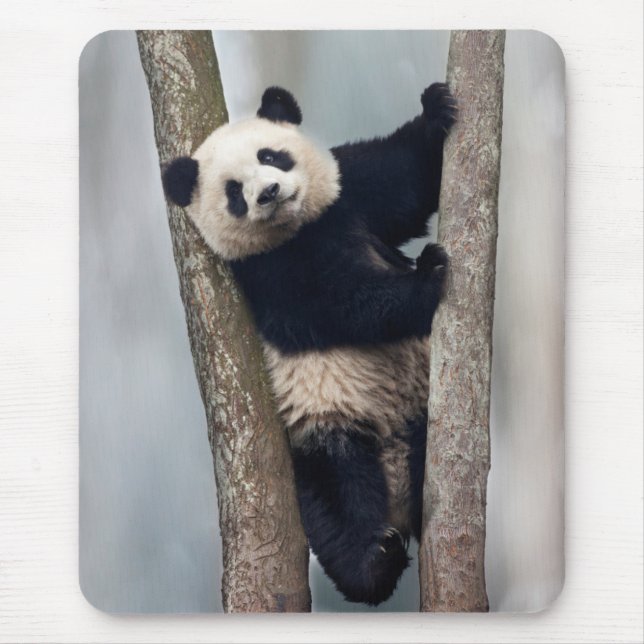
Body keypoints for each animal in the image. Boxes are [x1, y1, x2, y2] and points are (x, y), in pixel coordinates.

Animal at [162, 83, 457, 605]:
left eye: (271, 156)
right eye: (233, 191)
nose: (268, 193)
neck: (299, 229)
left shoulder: (348, 195)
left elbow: (402, 180)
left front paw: (436, 108)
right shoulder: (267, 274)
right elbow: (340, 305)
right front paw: (427, 277)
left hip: (420, 404)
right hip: (324, 430)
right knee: (337, 501)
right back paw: (375, 560)